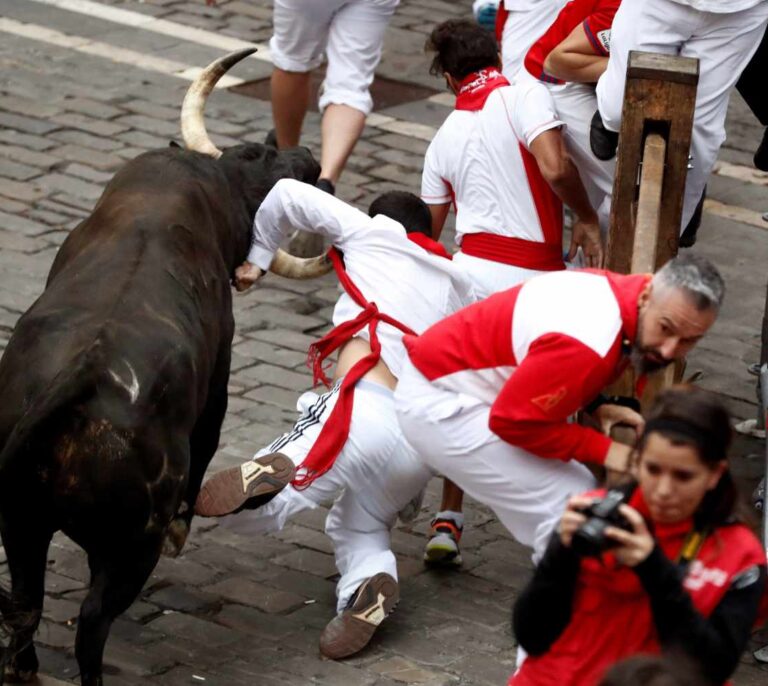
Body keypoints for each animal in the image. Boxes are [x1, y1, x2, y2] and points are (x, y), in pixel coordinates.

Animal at [0, 49, 328, 686]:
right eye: (264, 156)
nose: (314, 160)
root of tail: (77, 385)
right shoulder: (220, 378)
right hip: (129, 547)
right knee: (91, 623)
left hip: (20, 525)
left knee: (26, 606)